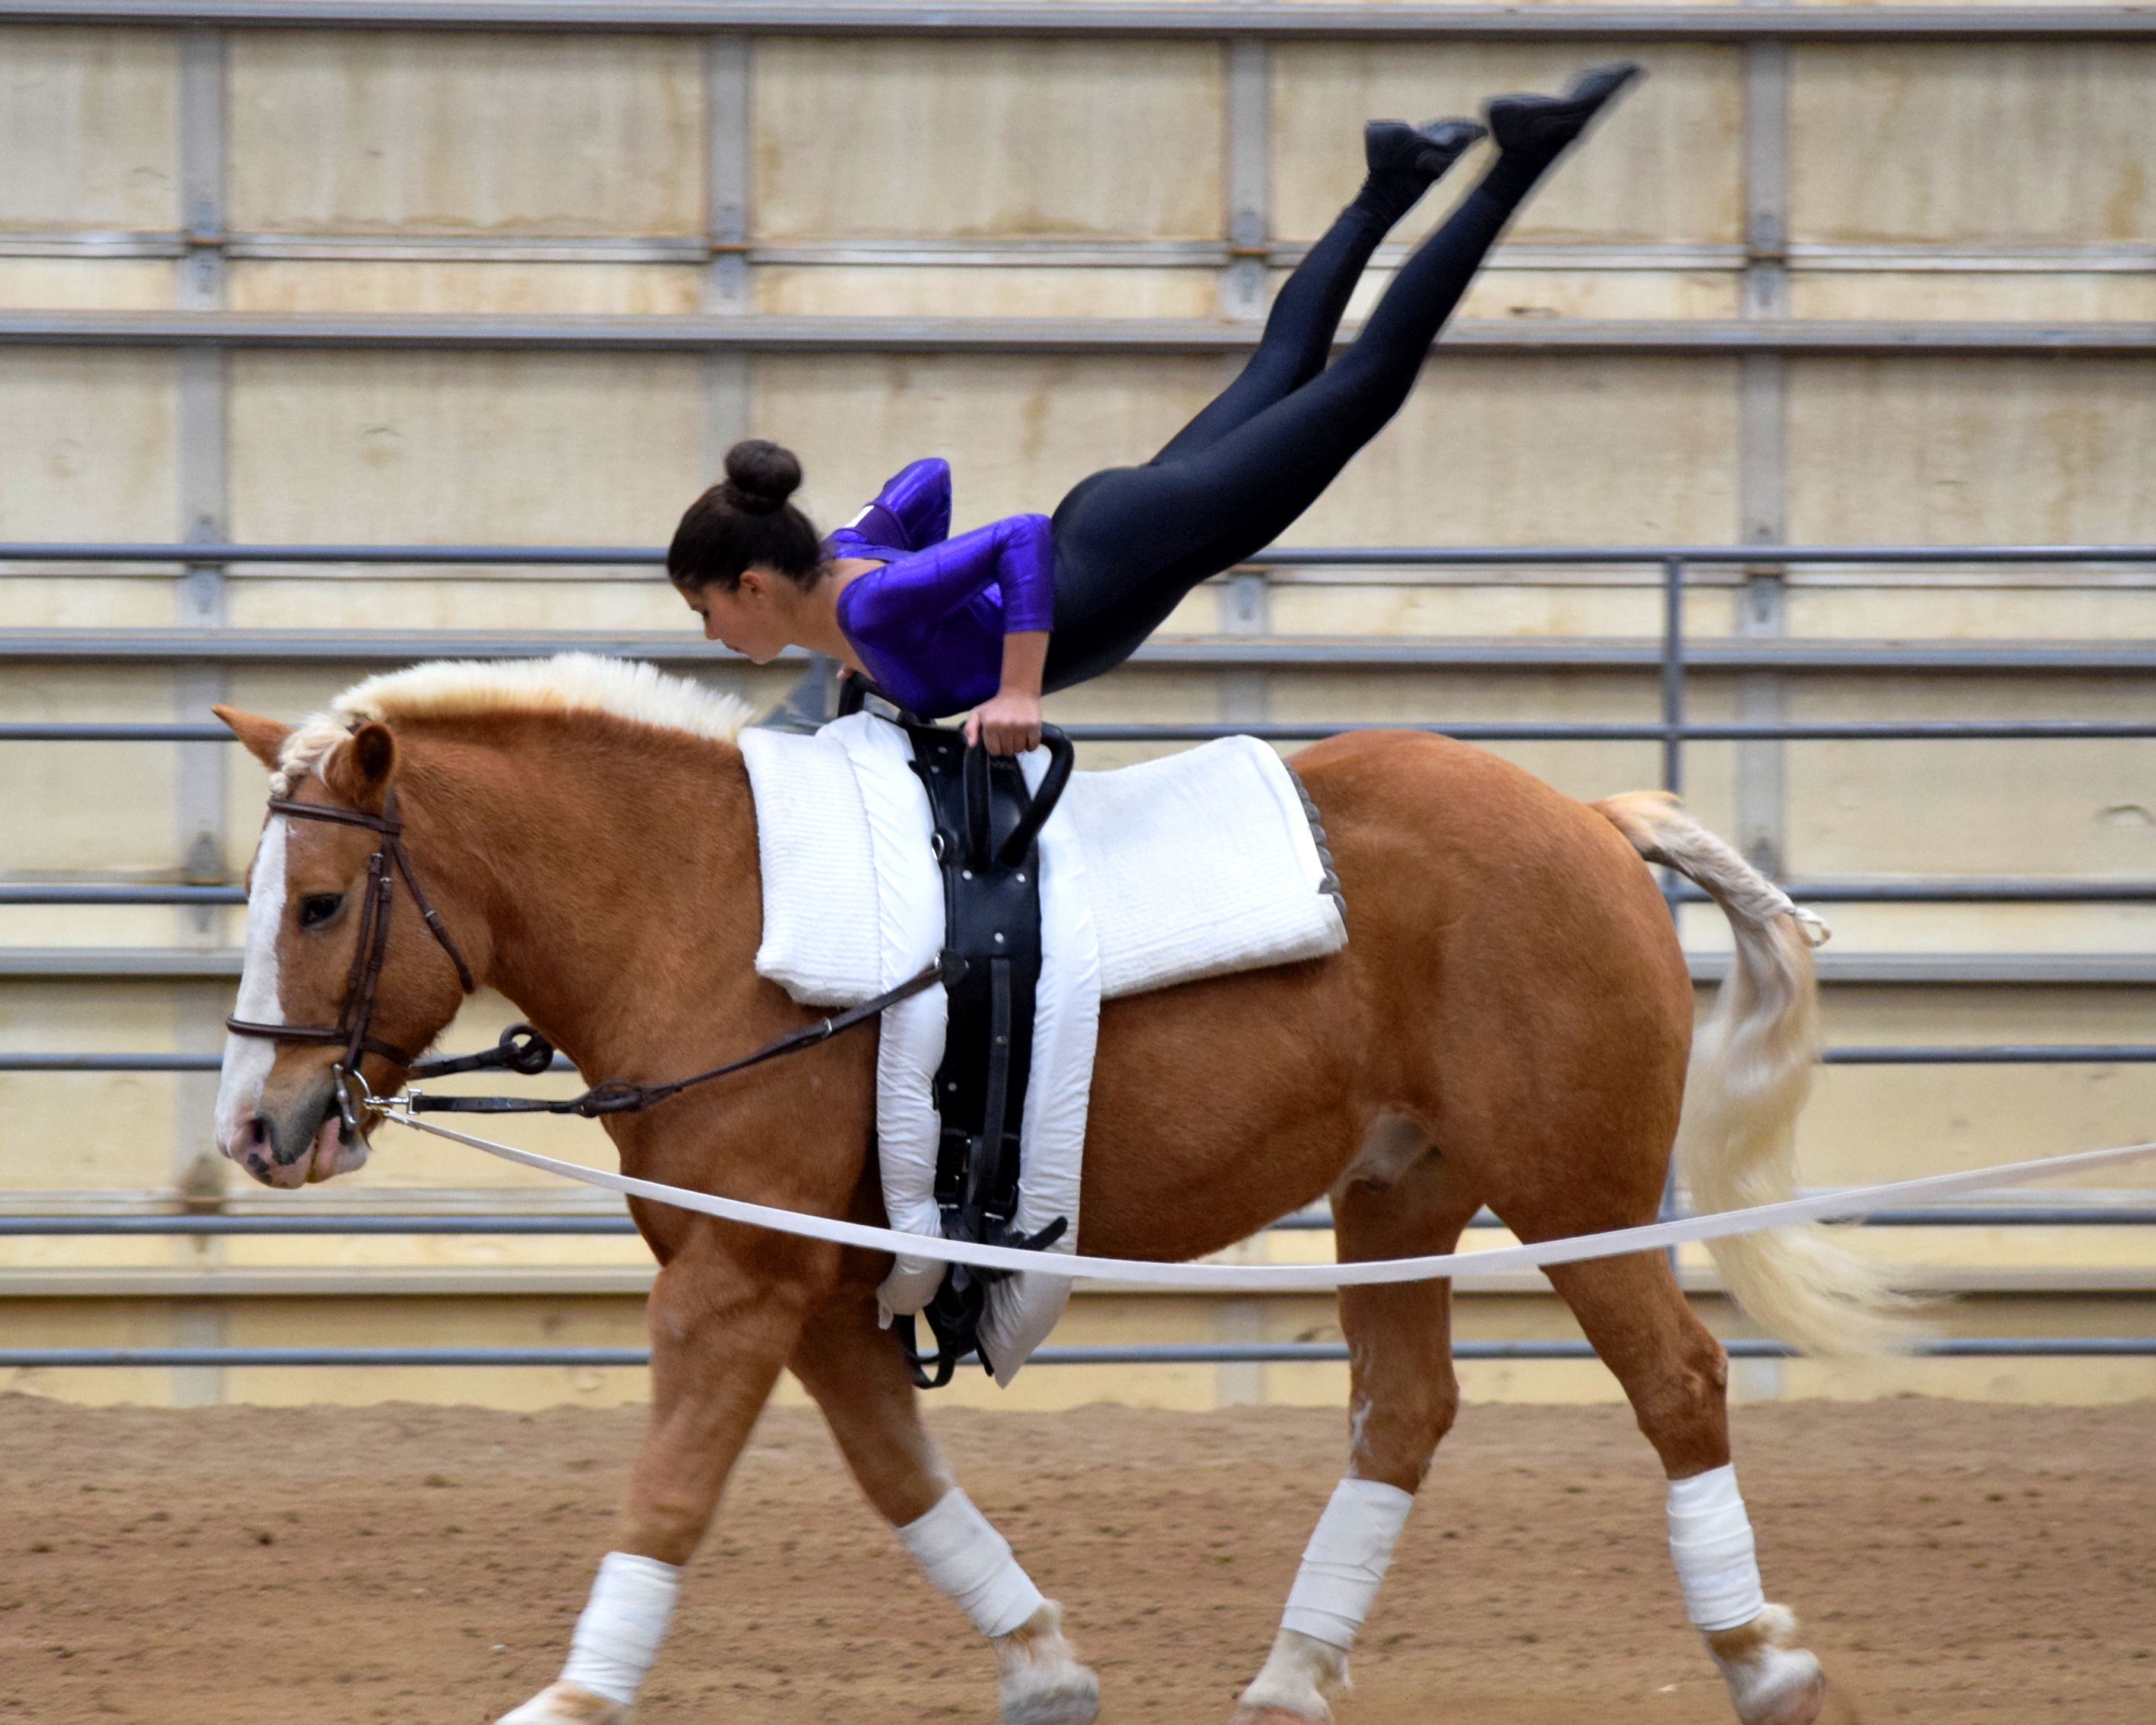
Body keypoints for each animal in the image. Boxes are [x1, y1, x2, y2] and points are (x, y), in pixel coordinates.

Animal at [210, 654, 1891, 1725]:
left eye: (319, 904)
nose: (258, 1128)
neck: (704, 910)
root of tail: (1591, 825)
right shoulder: (810, 1287)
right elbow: (898, 1474)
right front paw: (1041, 1663)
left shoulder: (735, 1286)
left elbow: (671, 1493)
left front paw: (570, 1698)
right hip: (1401, 1192)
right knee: (1401, 1412)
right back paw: (1288, 1677)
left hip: (1575, 1192)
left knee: (1675, 1382)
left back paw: (1762, 1661)